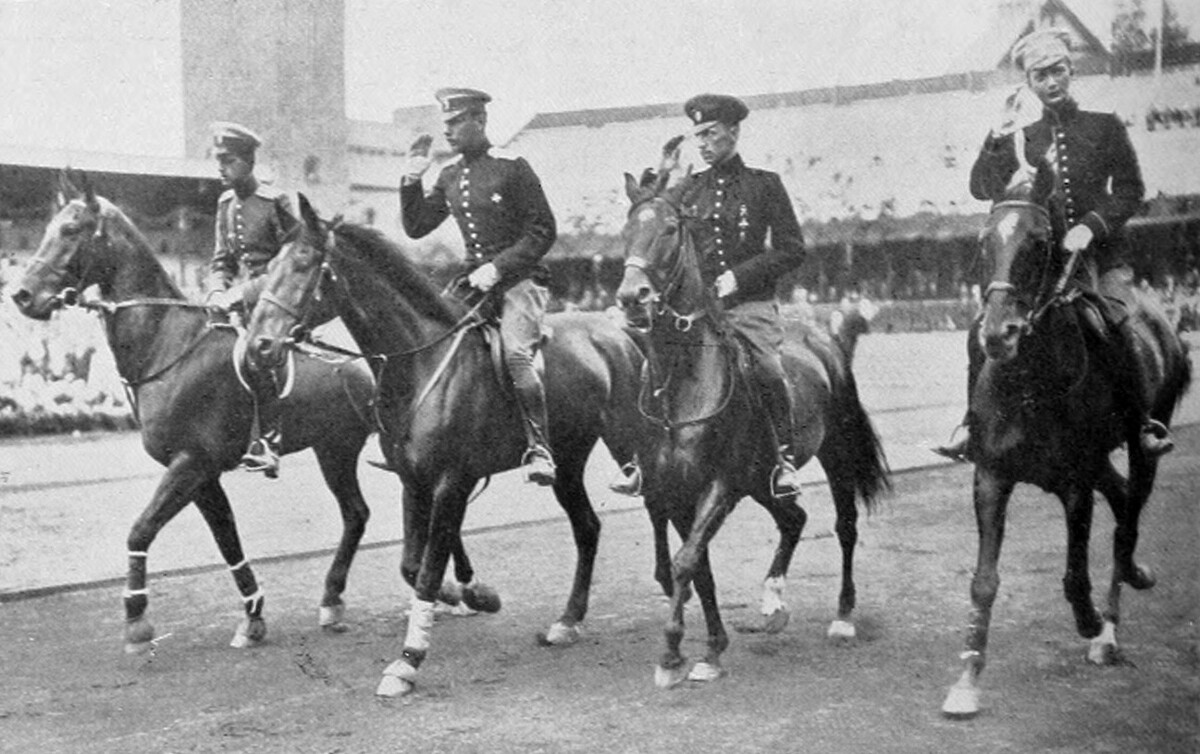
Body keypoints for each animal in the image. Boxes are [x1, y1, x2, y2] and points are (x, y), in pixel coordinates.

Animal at [8, 172, 384, 653]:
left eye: (71, 229)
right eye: (48, 227)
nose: (22, 295)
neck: (168, 345)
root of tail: (362, 363)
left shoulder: (191, 463)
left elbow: (141, 529)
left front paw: (136, 618)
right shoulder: (200, 474)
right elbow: (227, 540)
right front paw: (252, 616)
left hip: (342, 451)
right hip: (333, 450)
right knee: (358, 514)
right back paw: (338, 598)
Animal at [243, 193, 652, 696]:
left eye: (303, 264)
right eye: (270, 266)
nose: (258, 346)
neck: (421, 363)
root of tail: (616, 331)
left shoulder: (450, 483)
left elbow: (428, 568)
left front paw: (408, 660)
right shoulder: (413, 481)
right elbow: (412, 566)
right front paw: (474, 594)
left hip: (628, 444)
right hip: (568, 461)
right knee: (588, 528)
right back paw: (568, 620)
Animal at [619, 174, 892, 686]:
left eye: (669, 229)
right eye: (626, 231)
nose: (632, 297)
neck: (684, 380)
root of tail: (828, 338)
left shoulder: (720, 484)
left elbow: (687, 561)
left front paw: (672, 652)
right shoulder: (676, 489)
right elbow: (698, 567)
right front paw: (710, 649)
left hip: (834, 456)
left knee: (844, 526)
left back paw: (843, 617)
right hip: (761, 479)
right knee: (793, 519)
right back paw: (773, 601)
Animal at [940, 156, 1195, 715]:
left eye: (1039, 242)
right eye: (984, 241)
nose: (998, 335)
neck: (1029, 384)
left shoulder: (1075, 483)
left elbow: (1077, 574)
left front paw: (1092, 622)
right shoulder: (991, 477)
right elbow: (984, 582)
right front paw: (967, 676)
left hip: (1142, 447)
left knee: (1127, 523)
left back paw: (1111, 629)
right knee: (1120, 498)